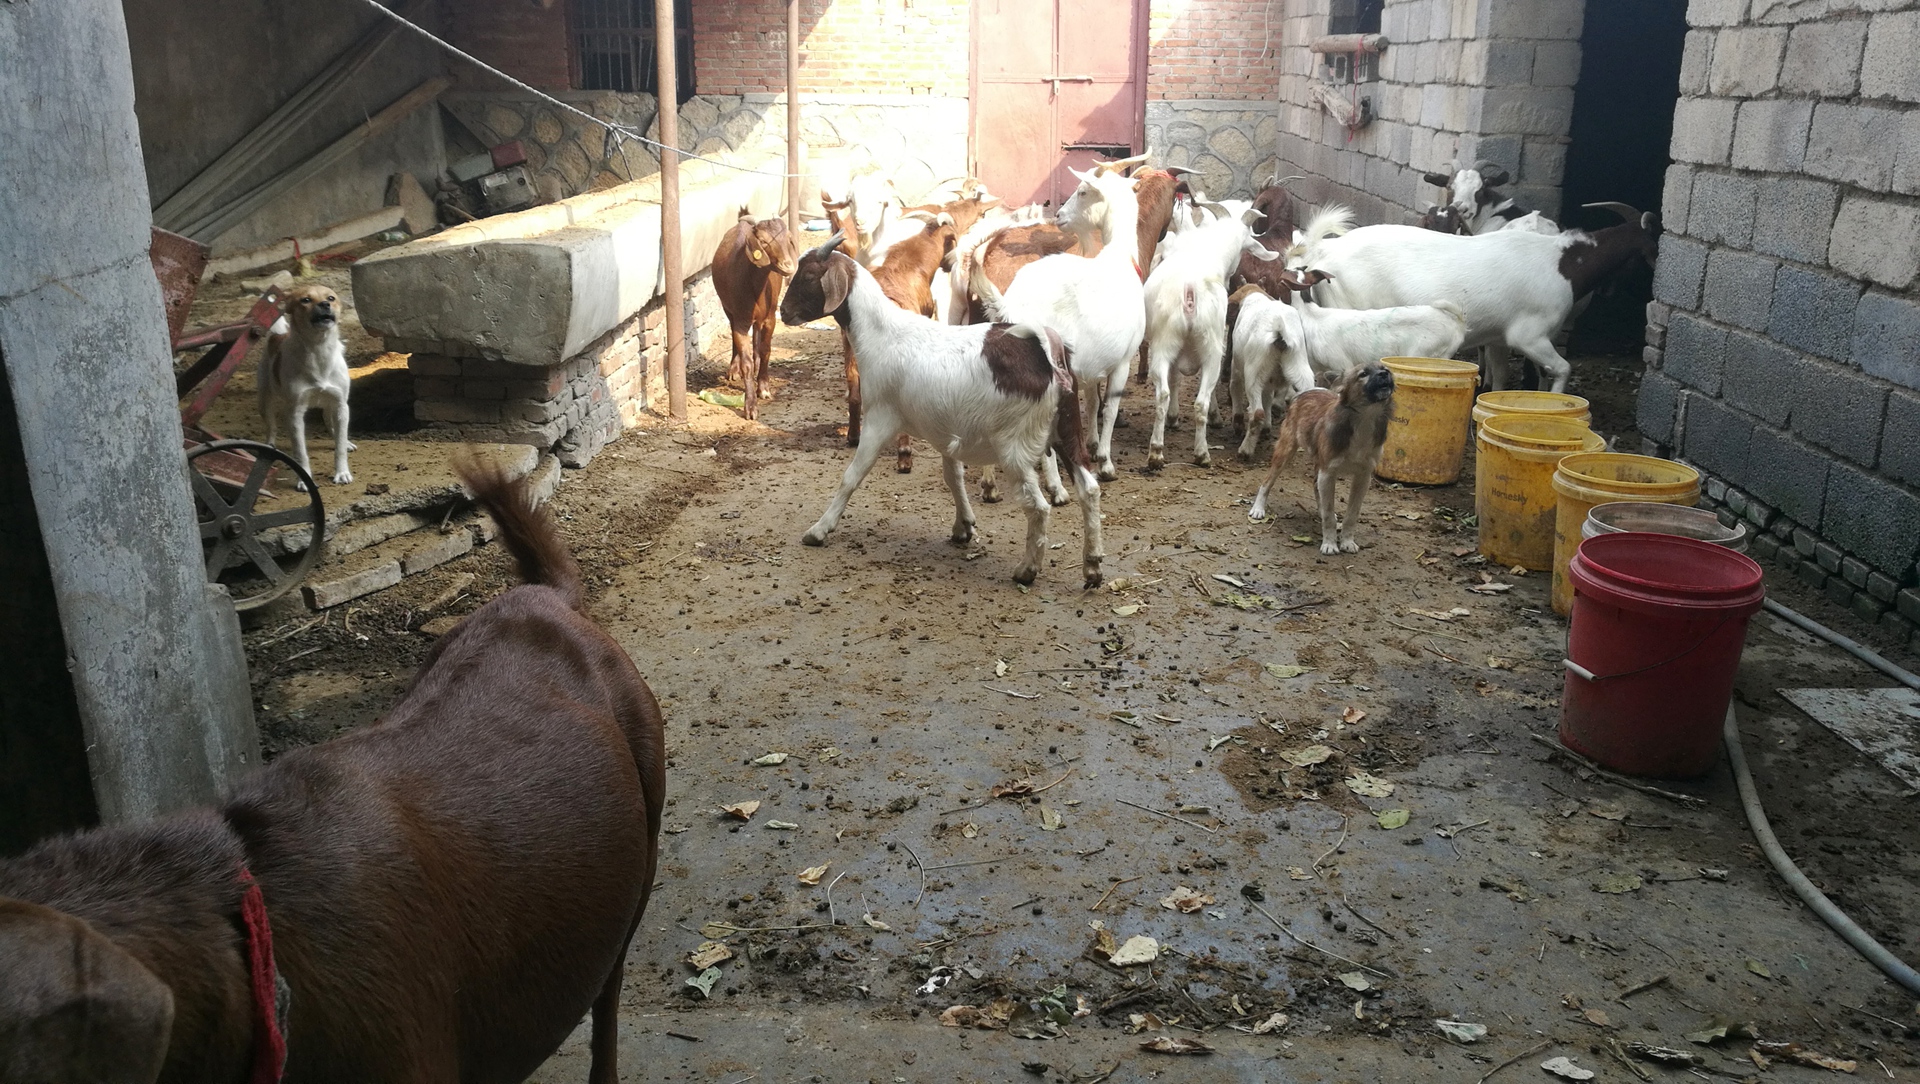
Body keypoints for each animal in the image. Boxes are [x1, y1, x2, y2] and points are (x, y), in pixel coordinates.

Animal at [709, 208, 798, 419]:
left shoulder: (770, 317)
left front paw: (764, 388)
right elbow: (746, 362)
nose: (788, 266)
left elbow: (766, 350)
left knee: (757, 338)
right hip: (728, 309)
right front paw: (750, 406)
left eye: (788, 238)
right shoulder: (741, 318)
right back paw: (734, 369)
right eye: (764, 242)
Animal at [778, 233, 1105, 589]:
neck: (881, 335)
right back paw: (1093, 566)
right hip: (1067, 429)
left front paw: (819, 530)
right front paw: (963, 526)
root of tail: (1046, 352)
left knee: (1038, 506)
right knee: (1089, 489)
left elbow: (852, 476)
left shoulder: (880, 418)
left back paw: (1027, 569)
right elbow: (954, 477)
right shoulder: (946, 431)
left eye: (810, 275)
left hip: (1015, 445)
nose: (783, 312)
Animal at [1285, 202, 1660, 392]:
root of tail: (1325, 249)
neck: (1564, 264)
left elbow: (1512, 377)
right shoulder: (1529, 335)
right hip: (1348, 309)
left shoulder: (1500, 337)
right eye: (1655, 242)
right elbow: (1563, 369)